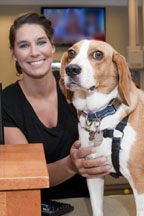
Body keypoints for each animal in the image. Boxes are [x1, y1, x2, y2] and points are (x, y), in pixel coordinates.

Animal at [59, 39, 144, 216]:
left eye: (97, 54)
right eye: (71, 53)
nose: (71, 69)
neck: (100, 115)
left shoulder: (139, 181)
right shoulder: (94, 174)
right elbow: (97, 209)